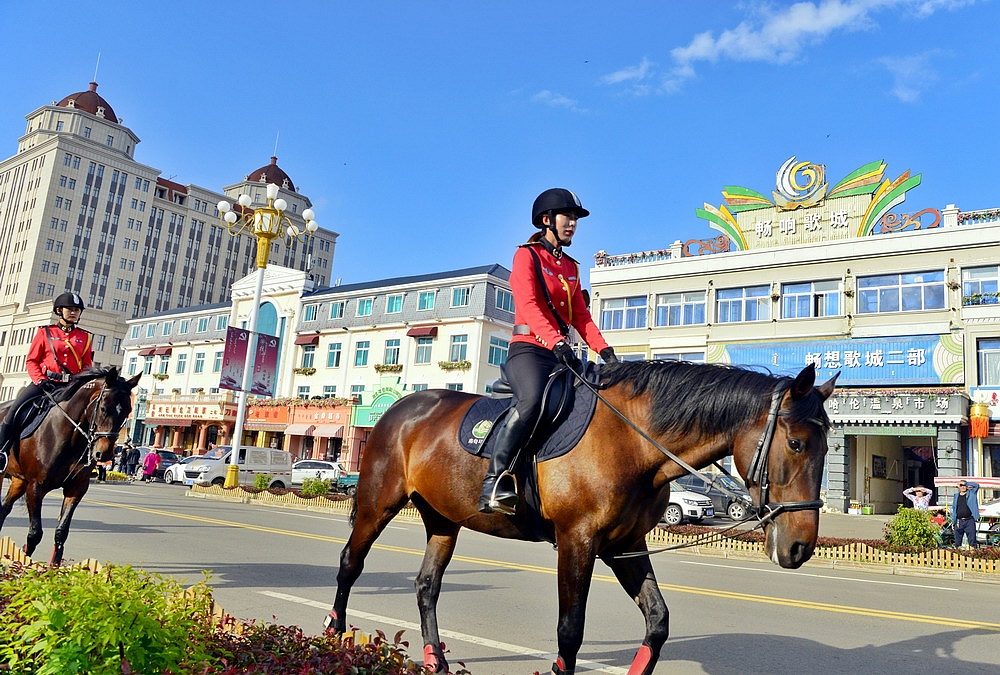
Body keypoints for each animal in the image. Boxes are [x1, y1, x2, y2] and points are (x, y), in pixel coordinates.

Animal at [0, 368, 139, 568]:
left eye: (127, 411)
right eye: (104, 408)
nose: (104, 454)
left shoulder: (76, 488)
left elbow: (61, 532)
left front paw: (54, 567)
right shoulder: (35, 487)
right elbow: (35, 533)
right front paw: (26, 563)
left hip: (19, 480)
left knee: (4, 508)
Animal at [328, 362, 836, 675]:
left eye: (829, 446)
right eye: (796, 444)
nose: (800, 547)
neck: (634, 443)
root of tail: (400, 408)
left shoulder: (624, 545)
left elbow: (658, 621)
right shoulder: (578, 541)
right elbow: (570, 632)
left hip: (443, 519)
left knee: (427, 585)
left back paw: (435, 658)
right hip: (376, 503)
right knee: (350, 564)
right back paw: (334, 636)